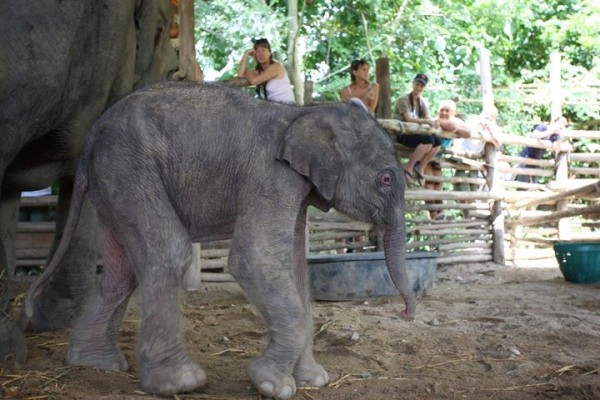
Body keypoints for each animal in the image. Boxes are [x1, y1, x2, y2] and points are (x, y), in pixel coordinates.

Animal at [24, 82, 418, 400]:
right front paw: (272, 385)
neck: (302, 111)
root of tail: (92, 136)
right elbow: (254, 258)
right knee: (168, 251)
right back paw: (181, 383)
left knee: (122, 273)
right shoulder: (271, 176)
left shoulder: (295, 189)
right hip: (128, 166)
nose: (405, 313)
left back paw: (94, 364)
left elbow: (295, 270)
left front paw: (313, 380)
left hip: (111, 181)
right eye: (385, 179)